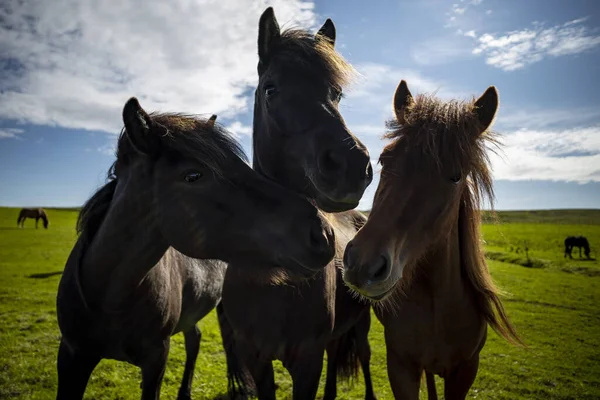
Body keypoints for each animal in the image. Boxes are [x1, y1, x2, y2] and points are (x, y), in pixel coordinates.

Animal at [218, 7, 378, 400]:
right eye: (270, 89)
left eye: (336, 93)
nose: (352, 166)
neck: (277, 282)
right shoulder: (256, 358)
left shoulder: (307, 362)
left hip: (363, 321)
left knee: (363, 355)